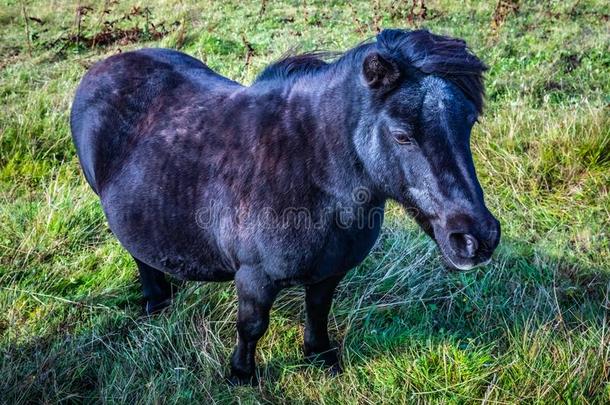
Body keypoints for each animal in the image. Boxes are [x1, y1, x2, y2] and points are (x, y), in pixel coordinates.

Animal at [71, 27, 498, 382]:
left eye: (469, 123)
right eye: (402, 135)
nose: (477, 239)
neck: (309, 171)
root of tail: (106, 66)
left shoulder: (329, 272)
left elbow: (318, 312)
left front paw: (320, 357)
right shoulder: (254, 277)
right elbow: (252, 326)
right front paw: (242, 375)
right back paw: (156, 300)